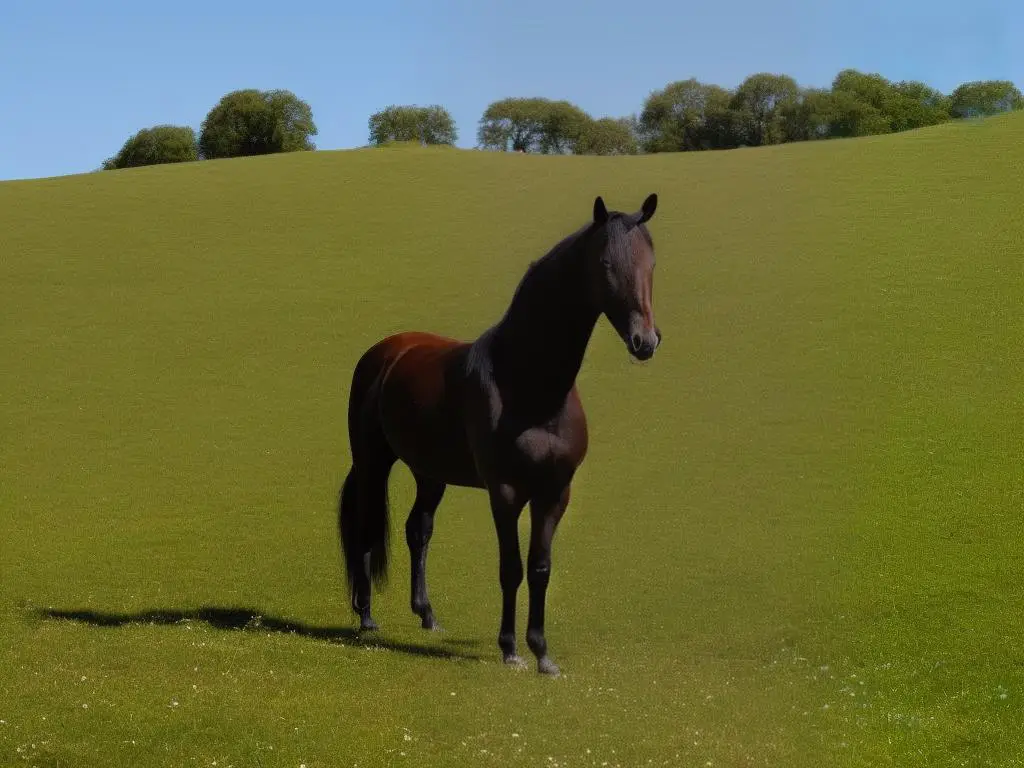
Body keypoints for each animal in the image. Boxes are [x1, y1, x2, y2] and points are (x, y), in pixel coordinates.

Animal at [339, 193, 663, 679]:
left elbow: (540, 567)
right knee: (366, 525)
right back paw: (366, 617)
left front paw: (542, 652)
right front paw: (510, 649)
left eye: (651, 262)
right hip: (372, 463)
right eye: (605, 263)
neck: (528, 385)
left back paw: (427, 615)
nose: (645, 341)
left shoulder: (555, 492)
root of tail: (384, 353)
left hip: (430, 473)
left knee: (419, 530)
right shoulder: (506, 492)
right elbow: (511, 567)